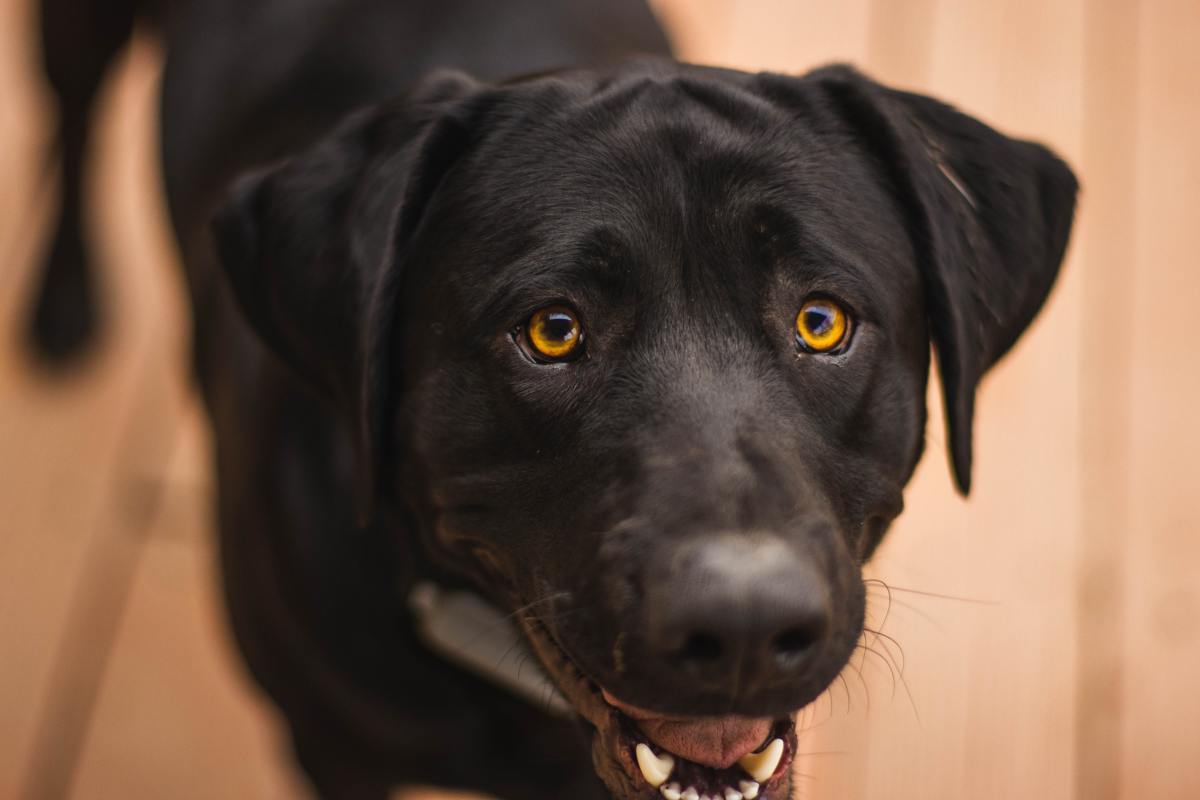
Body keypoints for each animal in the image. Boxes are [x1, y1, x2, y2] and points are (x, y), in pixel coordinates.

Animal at [30, 1, 1080, 800]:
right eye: (552, 330)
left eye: (821, 321)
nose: (741, 624)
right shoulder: (329, 744)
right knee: (72, 115)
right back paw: (60, 303)